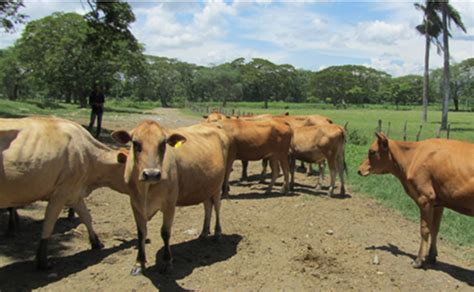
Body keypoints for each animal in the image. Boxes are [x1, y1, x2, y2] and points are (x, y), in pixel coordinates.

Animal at [0, 116, 130, 270]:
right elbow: (48, 225)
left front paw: (96, 242)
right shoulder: (60, 194)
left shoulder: (74, 192)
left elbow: (87, 217)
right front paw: (42, 261)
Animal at [111, 121, 230, 276]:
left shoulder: (169, 205)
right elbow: (141, 234)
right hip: (204, 187)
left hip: (217, 186)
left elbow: (165, 233)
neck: (146, 190)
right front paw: (139, 263)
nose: (151, 174)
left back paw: (217, 233)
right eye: (135, 143)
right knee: (207, 207)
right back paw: (204, 233)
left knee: (217, 207)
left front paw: (167, 262)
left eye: (163, 144)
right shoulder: (135, 204)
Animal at [360, 133, 474, 268]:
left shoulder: (425, 198)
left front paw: (419, 259)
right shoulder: (438, 203)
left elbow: (424, 229)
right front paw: (431, 256)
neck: (412, 157)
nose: (359, 170)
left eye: (372, 151)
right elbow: (435, 228)